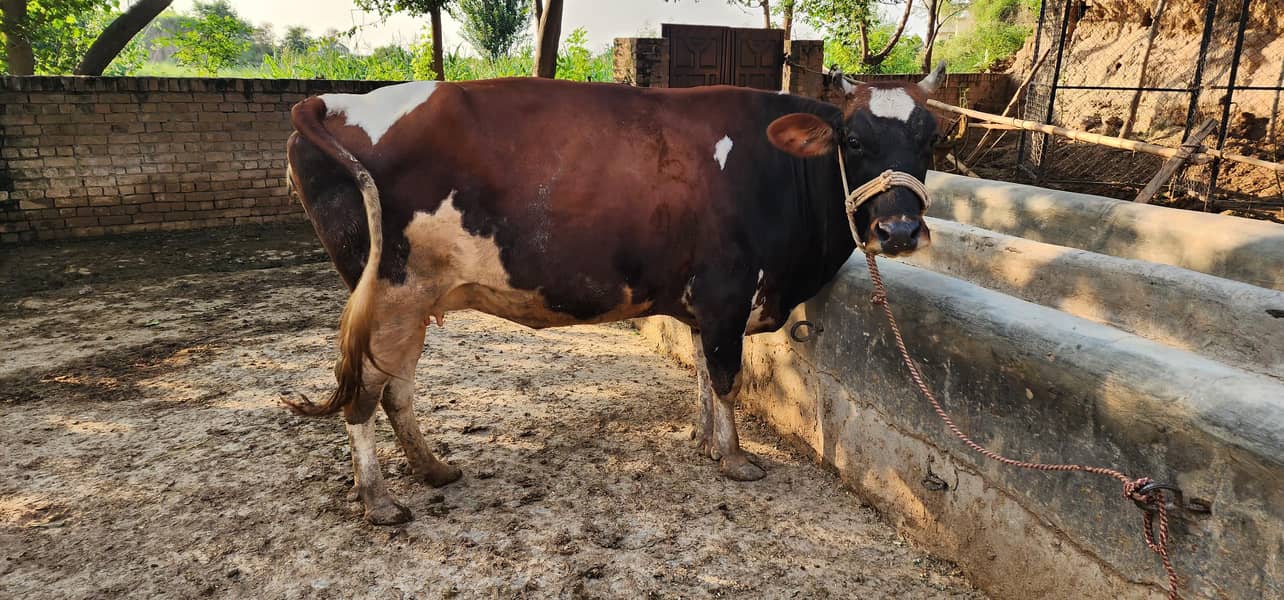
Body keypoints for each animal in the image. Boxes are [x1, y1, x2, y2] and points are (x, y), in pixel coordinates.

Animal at [285, 64, 944, 524]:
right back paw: (379, 501)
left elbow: (702, 373)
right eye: (853, 140)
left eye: (929, 139)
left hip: (412, 301)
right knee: (363, 397)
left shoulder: (704, 302)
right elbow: (726, 377)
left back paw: (433, 469)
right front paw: (735, 459)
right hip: (392, 295)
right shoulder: (727, 292)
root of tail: (332, 100)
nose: (899, 230)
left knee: (395, 391)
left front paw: (705, 442)